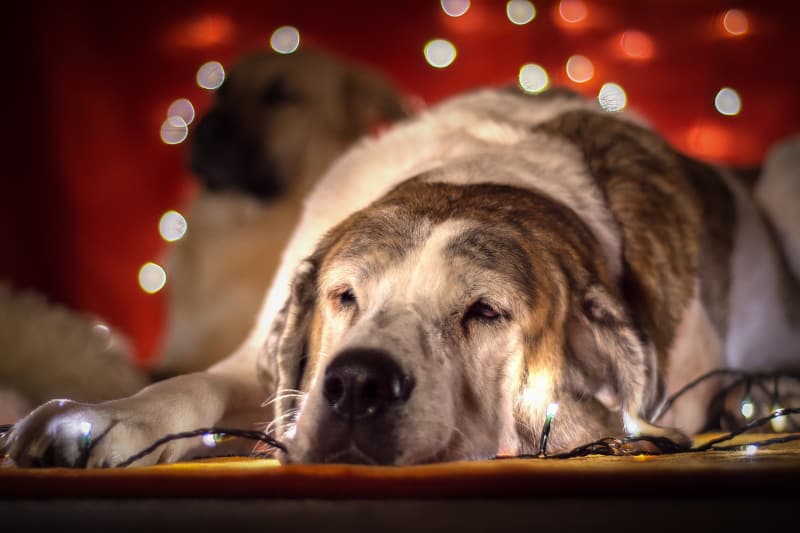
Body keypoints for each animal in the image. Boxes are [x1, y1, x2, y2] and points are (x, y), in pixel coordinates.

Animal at [1, 85, 800, 464]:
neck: (478, 174)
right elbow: (193, 384)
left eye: (485, 312)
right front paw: (99, 419)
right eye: (344, 297)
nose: (357, 383)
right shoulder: (267, 362)